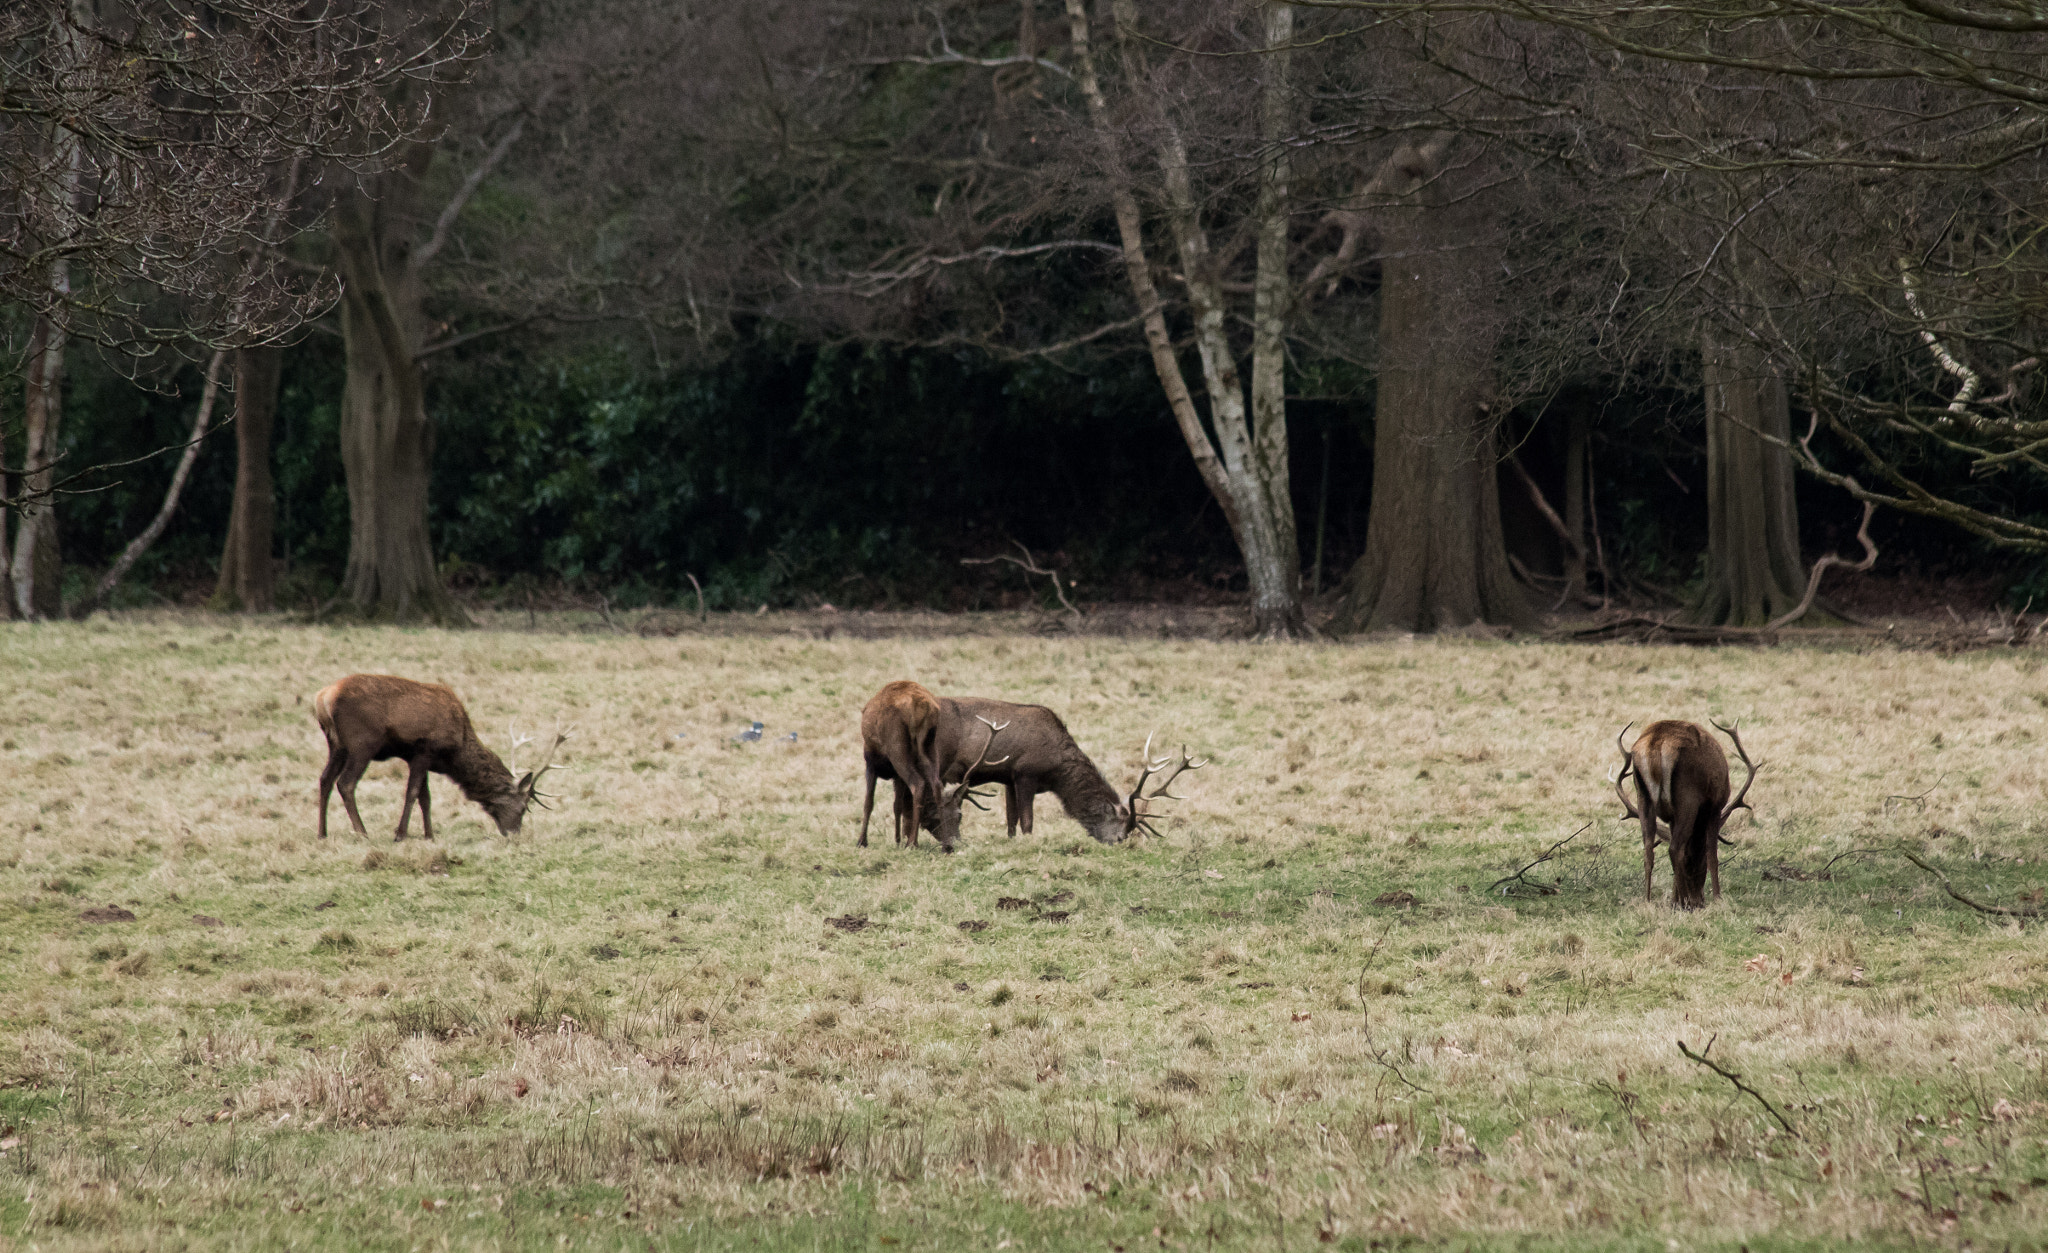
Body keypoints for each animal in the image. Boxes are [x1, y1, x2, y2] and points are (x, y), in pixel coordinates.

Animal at [313, 674, 565, 841]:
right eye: (523, 808)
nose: (515, 836)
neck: (456, 752)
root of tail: (323, 699)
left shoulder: (415, 757)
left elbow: (426, 797)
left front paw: (430, 835)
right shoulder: (425, 750)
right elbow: (413, 792)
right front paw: (401, 834)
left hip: (336, 744)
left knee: (325, 779)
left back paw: (322, 833)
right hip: (362, 743)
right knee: (345, 783)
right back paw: (363, 833)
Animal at [857, 680, 944, 848]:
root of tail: (921, 705)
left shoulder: (870, 763)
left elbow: (868, 802)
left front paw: (862, 841)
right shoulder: (896, 776)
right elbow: (897, 805)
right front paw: (897, 840)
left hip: (898, 750)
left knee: (918, 784)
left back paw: (912, 843)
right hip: (930, 747)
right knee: (937, 785)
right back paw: (947, 843)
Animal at [922, 696, 1203, 849]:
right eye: (1122, 833)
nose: (1119, 844)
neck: (1056, 772)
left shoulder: (1008, 777)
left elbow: (1011, 819)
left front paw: (1011, 842)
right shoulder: (1025, 773)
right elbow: (1027, 821)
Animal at [1613, 719, 1761, 909]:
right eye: (1699, 863)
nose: (1699, 900)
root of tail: (1658, 743)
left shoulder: (1672, 819)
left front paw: (1673, 899)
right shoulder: (1715, 805)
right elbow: (1712, 854)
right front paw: (1718, 898)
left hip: (1643, 797)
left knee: (1648, 849)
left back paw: (1648, 900)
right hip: (1687, 797)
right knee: (1674, 848)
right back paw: (1684, 904)